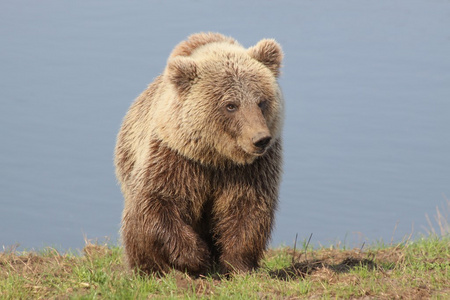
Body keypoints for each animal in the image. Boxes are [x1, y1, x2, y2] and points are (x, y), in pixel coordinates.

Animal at [115, 32, 284, 276]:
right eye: (230, 105)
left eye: (261, 101)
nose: (260, 139)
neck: (215, 157)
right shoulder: (175, 158)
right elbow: (158, 202)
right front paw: (196, 256)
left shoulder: (250, 170)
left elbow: (247, 209)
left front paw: (237, 264)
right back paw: (150, 268)